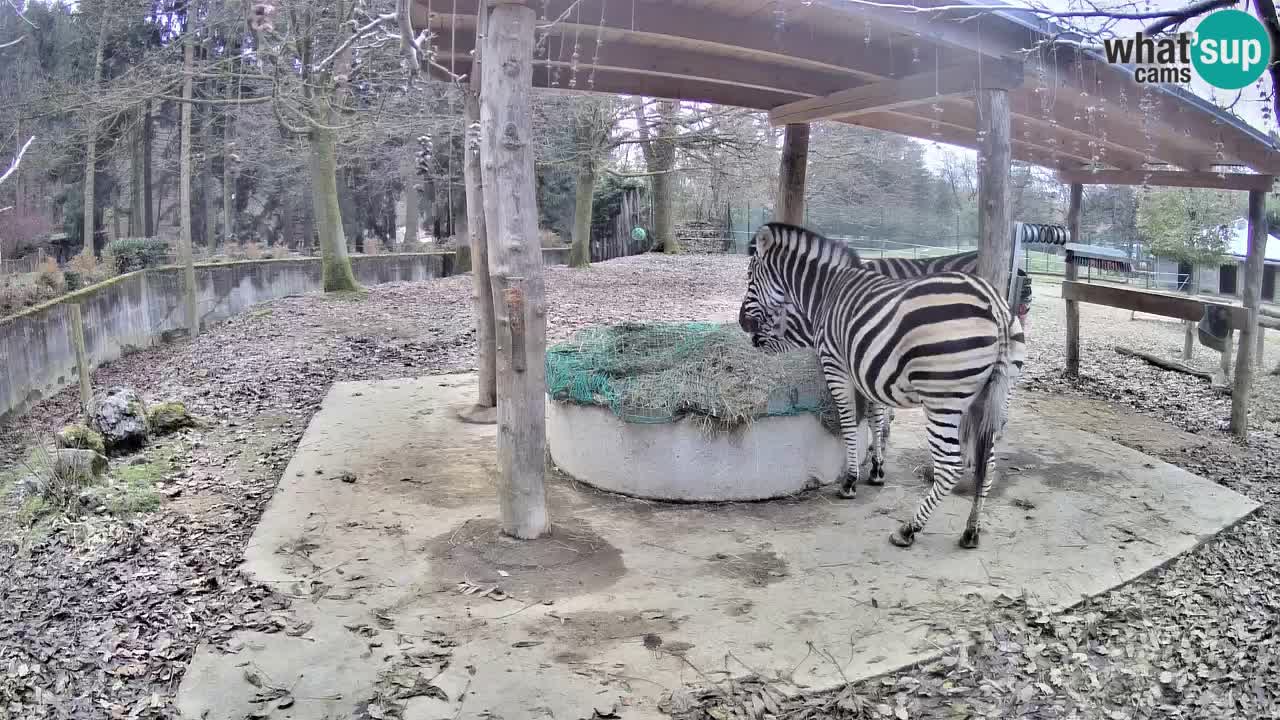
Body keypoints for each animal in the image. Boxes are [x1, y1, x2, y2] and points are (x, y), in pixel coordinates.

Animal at [737, 221, 1024, 545]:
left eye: (749, 275)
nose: (743, 325)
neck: (826, 293)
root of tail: (994, 303)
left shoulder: (836, 365)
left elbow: (850, 423)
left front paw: (851, 480)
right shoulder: (869, 369)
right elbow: (876, 417)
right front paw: (876, 467)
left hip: (942, 399)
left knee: (950, 466)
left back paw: (909, 528)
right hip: (992, 397)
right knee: (988, 465)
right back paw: (971, 530)